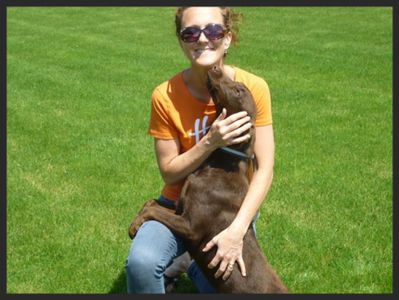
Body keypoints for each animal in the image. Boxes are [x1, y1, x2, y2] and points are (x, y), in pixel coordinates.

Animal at [130, 65, 290, 292]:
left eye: (239, 90)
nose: (215, 67)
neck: (221, 164)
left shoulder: (190, 226)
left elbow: (152, 210)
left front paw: (134, 227)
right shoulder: (180, 209)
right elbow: (150, 203)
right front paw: (136, 221)